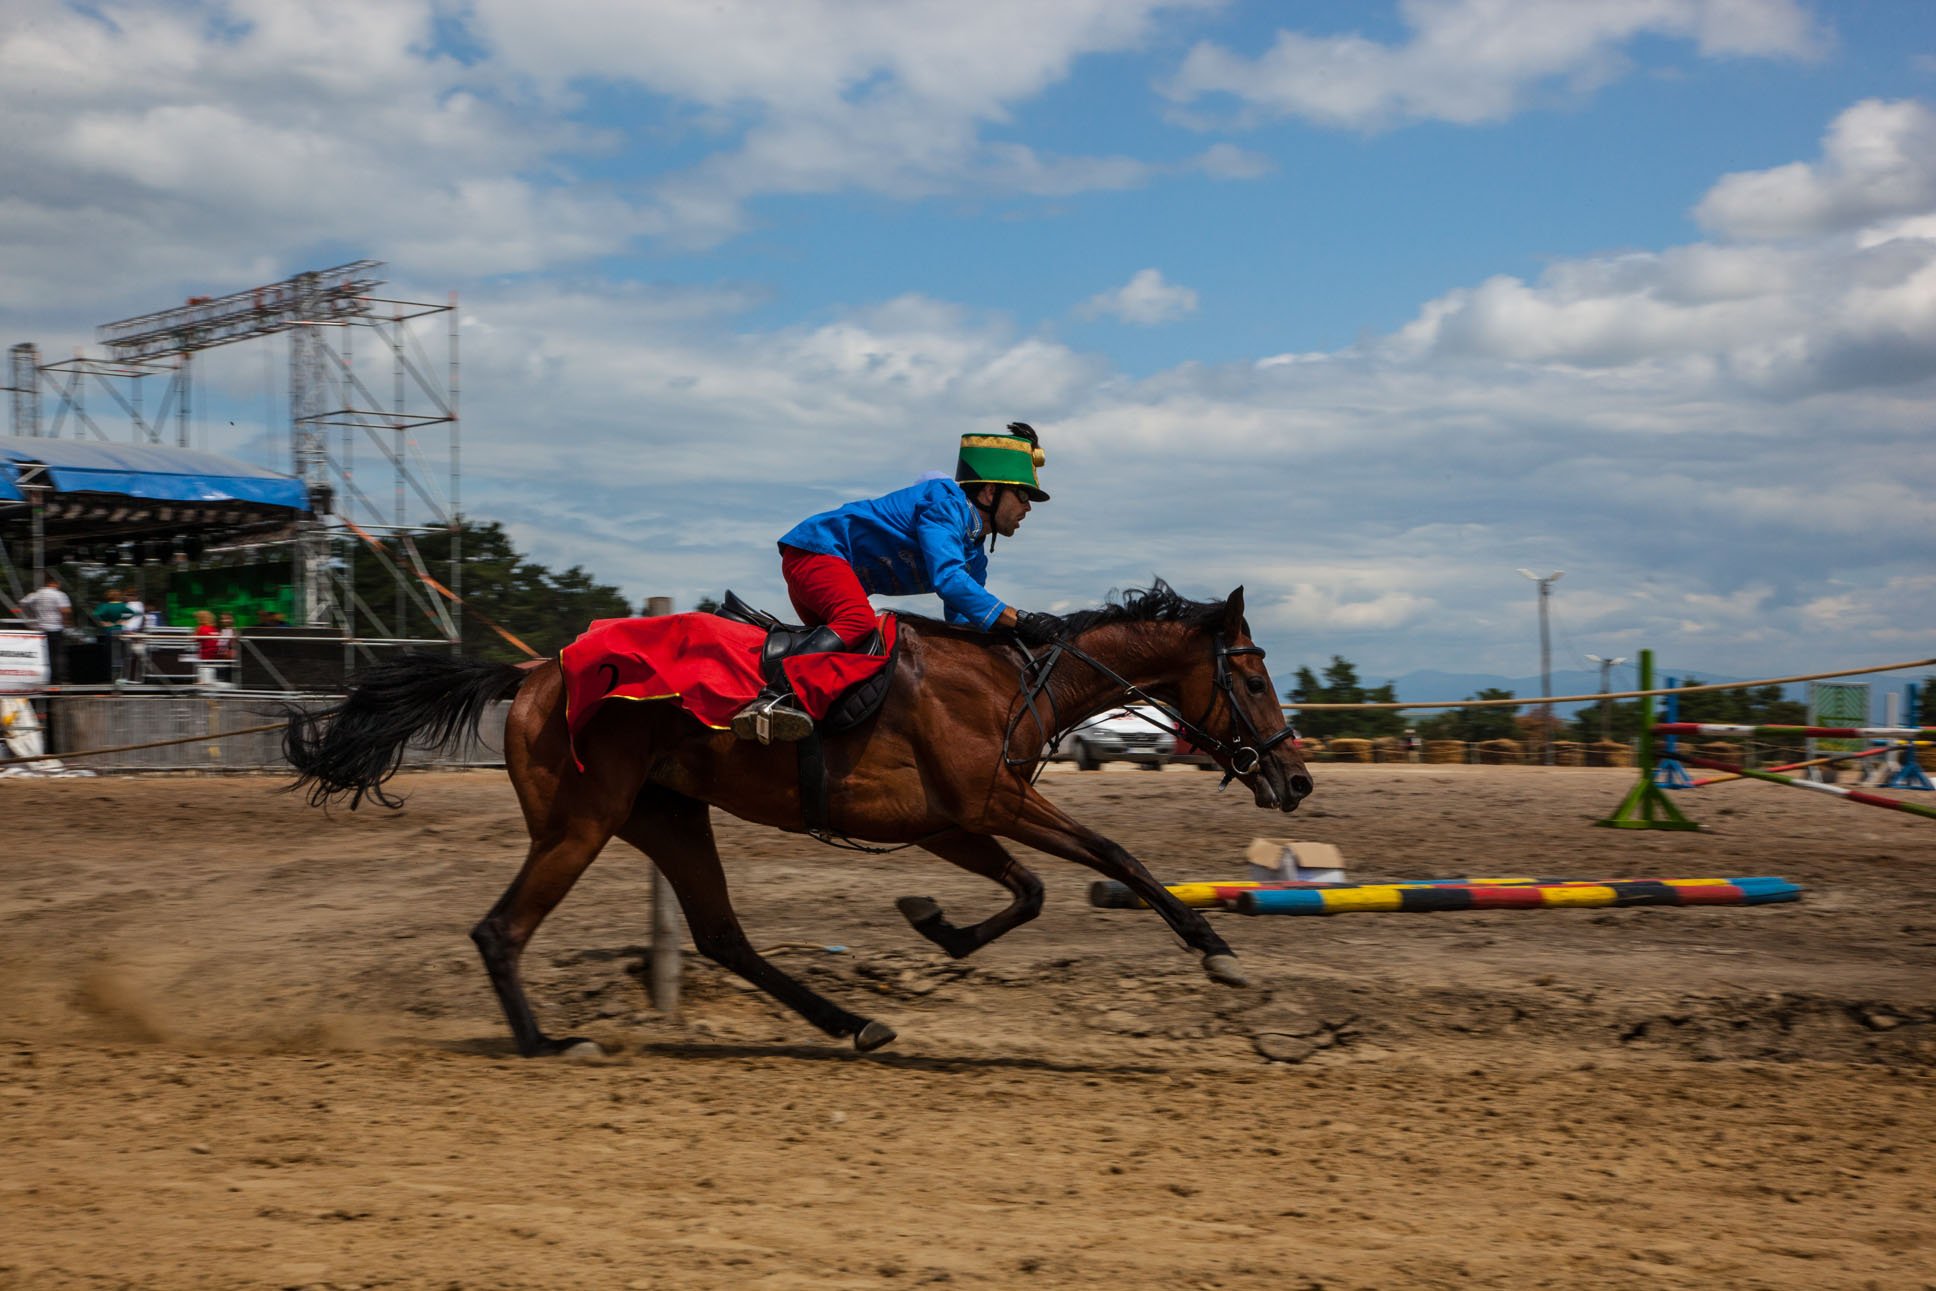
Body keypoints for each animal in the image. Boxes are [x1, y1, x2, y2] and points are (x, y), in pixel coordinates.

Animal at [286, 584, 1316, 1060]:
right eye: (1255, 675)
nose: (1298, 778)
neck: (1013, 680)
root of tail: (533, 672)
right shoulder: (992, 801)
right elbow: (1115, 852)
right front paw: (1217, 950)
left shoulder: (947, 819)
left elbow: (1026, 891)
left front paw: (934, 925)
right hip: (580, 821)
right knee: (501, 928)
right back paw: (547, 1043)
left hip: (666, 815)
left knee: (722, 935)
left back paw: (854, 1022)